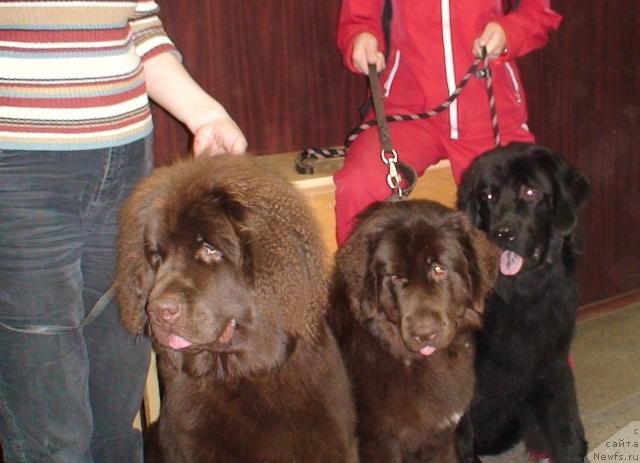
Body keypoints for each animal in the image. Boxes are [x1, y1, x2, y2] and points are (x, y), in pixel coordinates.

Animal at [460, 143, 592, 462]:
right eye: (488, 196)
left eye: (530, 192)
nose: (503, 234)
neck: (517, 298)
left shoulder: (550, 363)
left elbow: (566, 429)